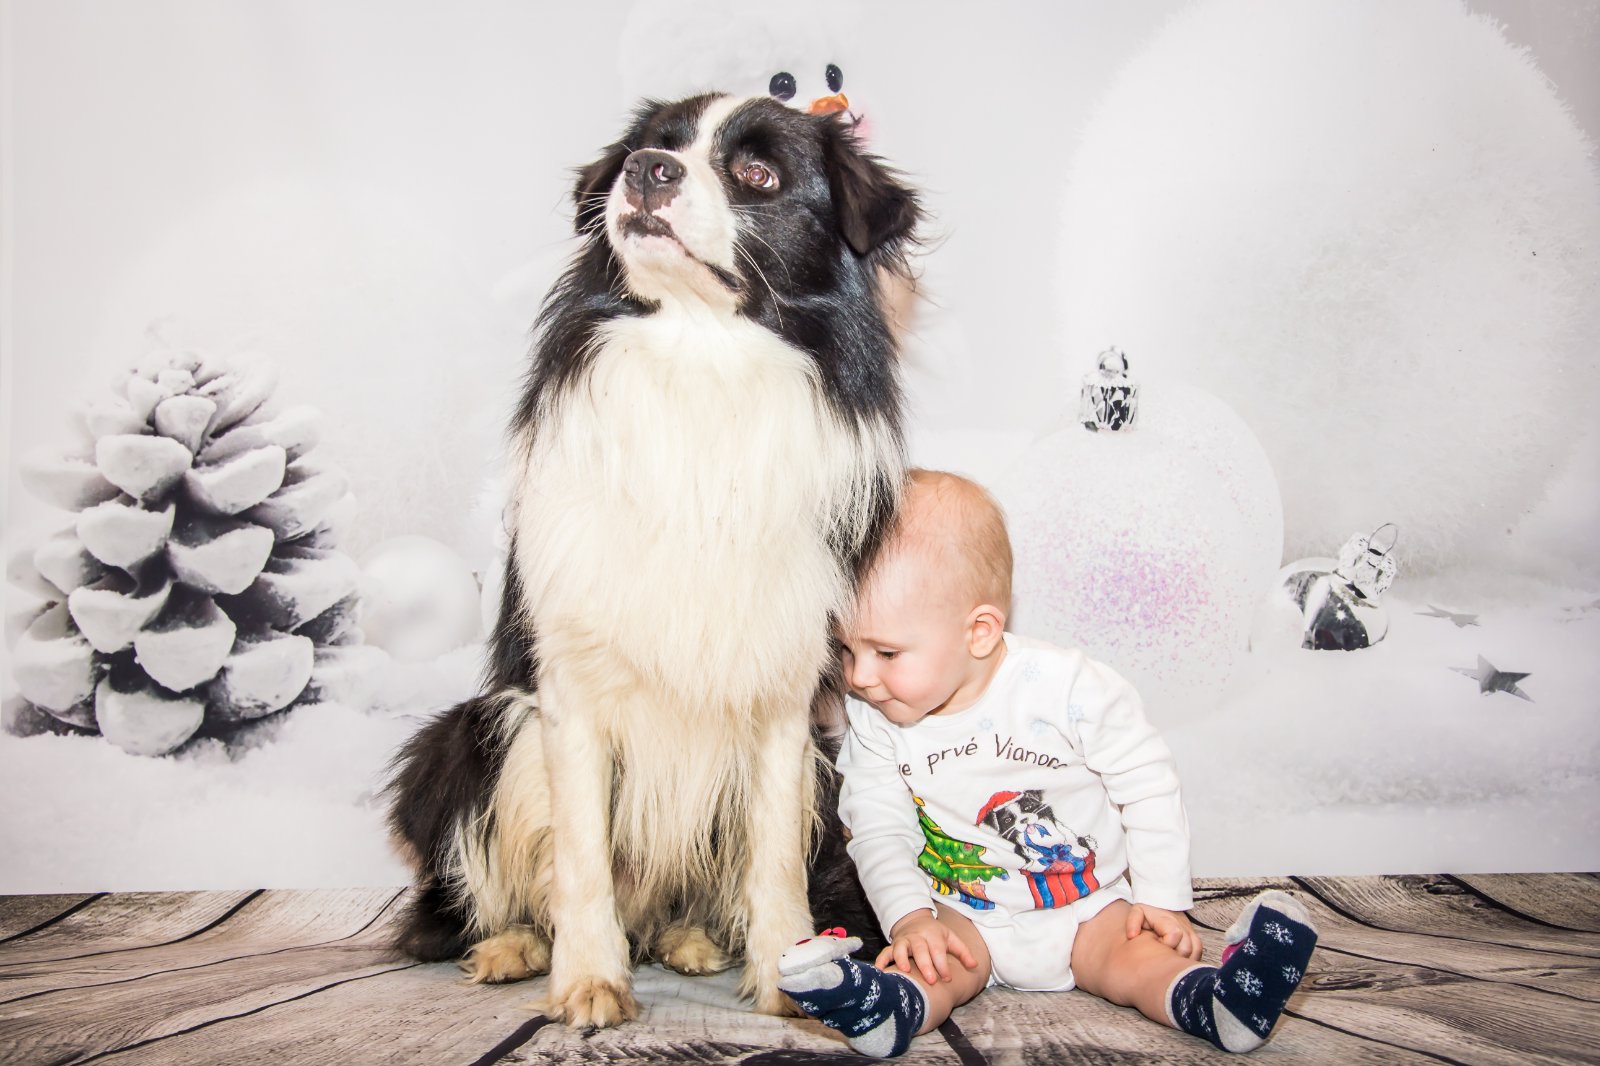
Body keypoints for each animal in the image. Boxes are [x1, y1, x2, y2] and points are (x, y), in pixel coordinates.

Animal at [387, 93, 919, 1028]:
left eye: (757, 174)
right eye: (652, 146)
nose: (645, 172)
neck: (698, 356)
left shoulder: (784, 697)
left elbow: (774, 855)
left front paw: (791, 979)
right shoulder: (570, 687)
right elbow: (581, 859)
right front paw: (589, 980)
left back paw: (689, 937)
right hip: (464, 738)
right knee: (468, 895)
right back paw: (514, 946)